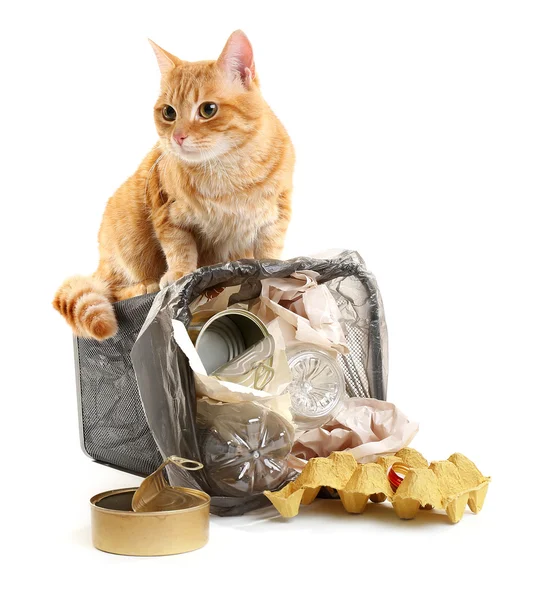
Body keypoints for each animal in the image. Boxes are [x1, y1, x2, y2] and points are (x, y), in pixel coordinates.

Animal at [52, 31, 294, 338]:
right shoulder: (166, 211)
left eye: (208, 109)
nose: (177, 137)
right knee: (113, 289)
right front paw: (180, 276)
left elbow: (269, 251)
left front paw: (273, 279)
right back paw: (146, 285)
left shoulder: (276, 216)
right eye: (168, 112)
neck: (227, 170)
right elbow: (180, 248)